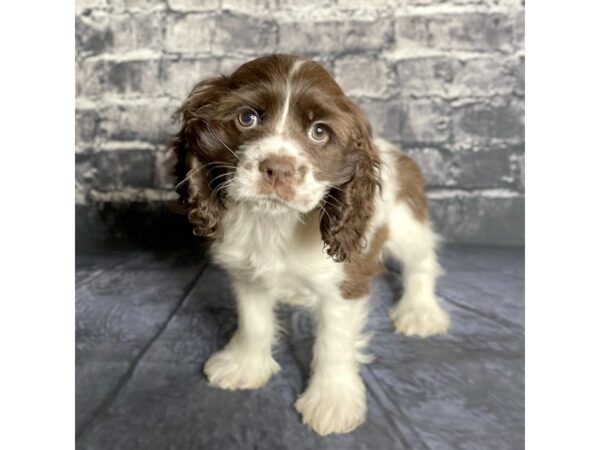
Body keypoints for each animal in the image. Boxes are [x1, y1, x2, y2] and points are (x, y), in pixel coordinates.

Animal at [171, 53, 448, 436]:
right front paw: (245, 365)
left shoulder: (345, 283)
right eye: (247, 118)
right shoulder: (247, 273)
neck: (275, 223)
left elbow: (334, 343)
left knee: (421, 263)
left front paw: (332, 400)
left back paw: (420, 311)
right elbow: (254, 322)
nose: (278, 169)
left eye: (319, 132)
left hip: (407, 224)